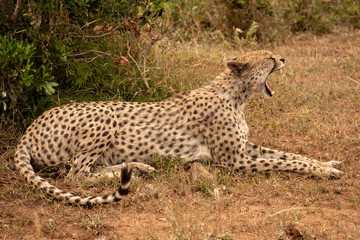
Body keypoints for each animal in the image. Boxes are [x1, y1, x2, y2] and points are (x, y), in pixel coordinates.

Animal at [14, 49, 344, 205]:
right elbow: (287, 163)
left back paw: (140, 168)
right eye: (268, 57)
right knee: (76, 175)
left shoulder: (245, 148)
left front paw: (327, 163)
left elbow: (290, 155)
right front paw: (324, 172)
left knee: (91, 170)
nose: (283, 58)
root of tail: (29, 129)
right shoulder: (235, 160)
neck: (237, 95)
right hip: (105, 112)